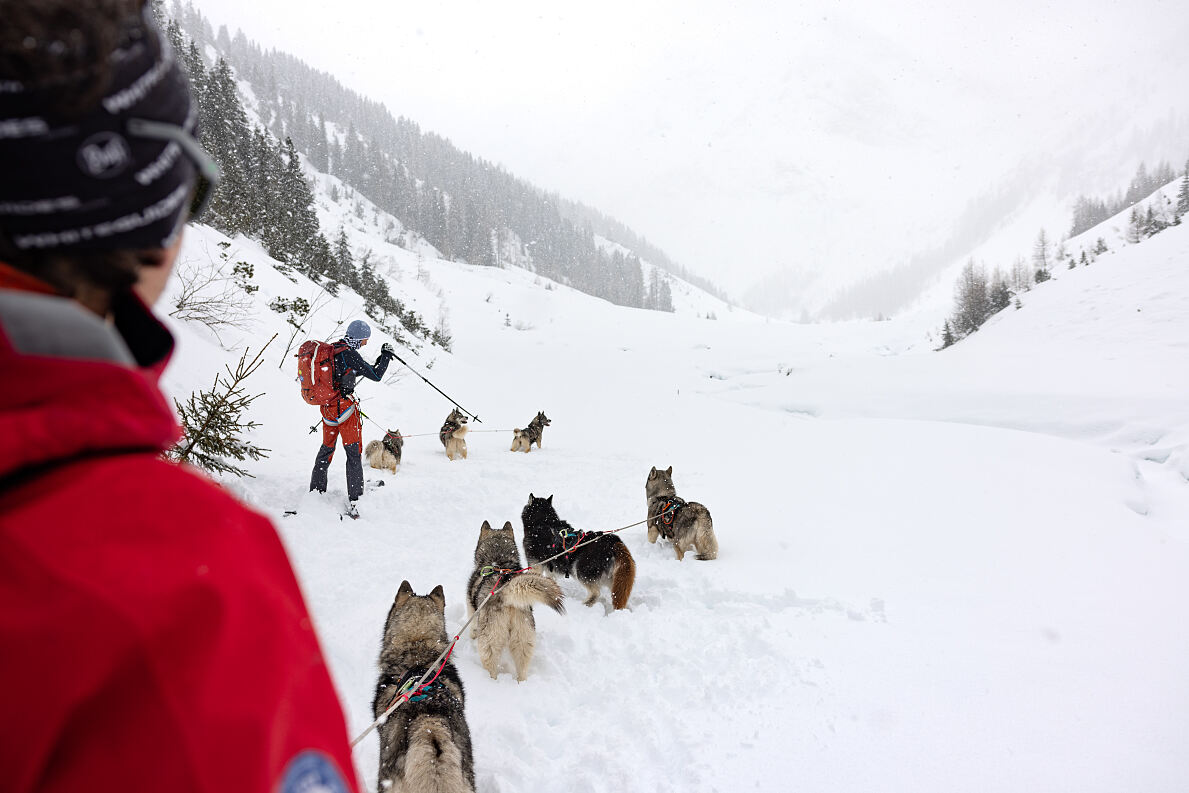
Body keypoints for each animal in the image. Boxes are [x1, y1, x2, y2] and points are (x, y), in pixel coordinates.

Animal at [466, 520, 563, 684]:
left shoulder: (471, 611)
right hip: (523, 640)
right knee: (522, 670)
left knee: (491, 666)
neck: (498, 561)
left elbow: (472, 628)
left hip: (490, 642)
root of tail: (506, 591)